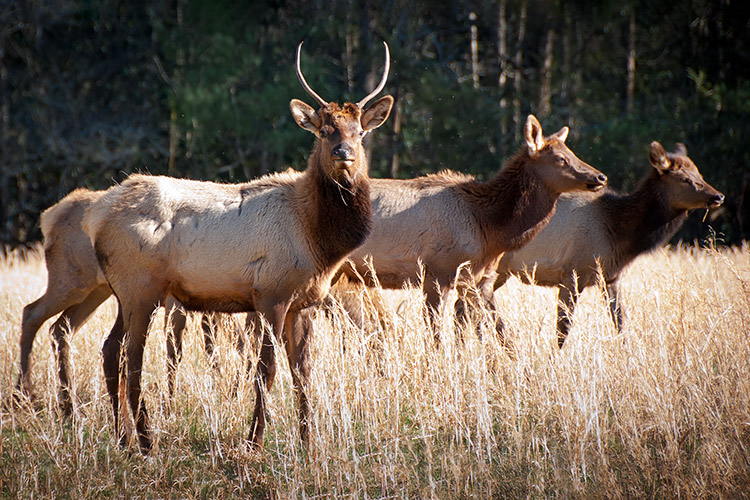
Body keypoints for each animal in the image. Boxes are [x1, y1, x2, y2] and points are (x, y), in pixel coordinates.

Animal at [83, 41, 394, 452]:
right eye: (325, 131)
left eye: (359, 131)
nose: (344, 154)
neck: (318, 241)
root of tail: (96, 217)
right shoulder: (270, 294)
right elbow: (267, 370)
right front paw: (254, 442)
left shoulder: (304, 302)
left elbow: (303, 372)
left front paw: (309, 443)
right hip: (141, 286)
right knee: (131, 358)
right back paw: (147, 442)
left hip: (125, 292)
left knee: (110, 350)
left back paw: (122, 438)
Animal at [490, 139, 724, 346]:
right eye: (684, 179)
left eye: (699, 173)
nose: (718, 196)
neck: (618, 234)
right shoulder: (572, 273)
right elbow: (562, 330)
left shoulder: (610, 278)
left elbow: (619, 323)